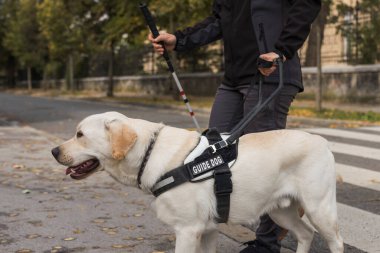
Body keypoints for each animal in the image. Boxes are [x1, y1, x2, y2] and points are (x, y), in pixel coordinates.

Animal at [51, 111, 344, 252]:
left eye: (80, 134)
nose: (54, 151)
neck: (150, 151)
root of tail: (322, 140)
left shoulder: (187, 229)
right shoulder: (209, 228)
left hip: (319, 208)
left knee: (335, 241)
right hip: (280, 211)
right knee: (305, 234)